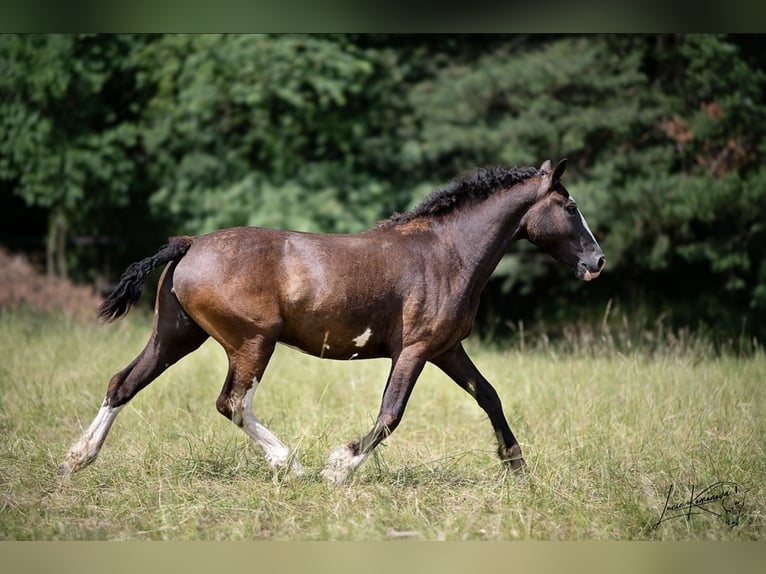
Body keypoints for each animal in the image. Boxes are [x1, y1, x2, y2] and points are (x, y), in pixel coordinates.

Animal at [58, 160, 608, 484]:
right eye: (570, 206)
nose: (597, 261)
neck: (446, 253)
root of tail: (189, 243)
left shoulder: (447, 350)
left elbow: (489, 396)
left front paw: (517, 466)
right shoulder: (415, 350)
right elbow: (390, 413)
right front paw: (339, 468)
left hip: (175, 336)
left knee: (123, 383)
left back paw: (77, 458)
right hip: (252, 342)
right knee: (232, 403)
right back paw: (293, 466)